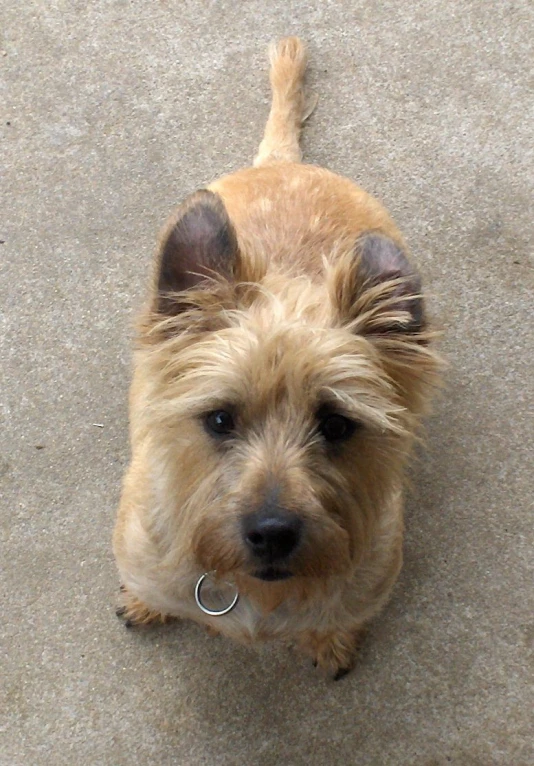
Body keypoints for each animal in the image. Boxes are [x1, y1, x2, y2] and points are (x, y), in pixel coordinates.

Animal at [112, 39, 440, 680]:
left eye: (337, 425)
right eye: (219, 419)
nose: (270, 533)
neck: (258, 596)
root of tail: (283, 164)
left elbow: (340, 618)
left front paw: (331, 642)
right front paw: (143, 603)